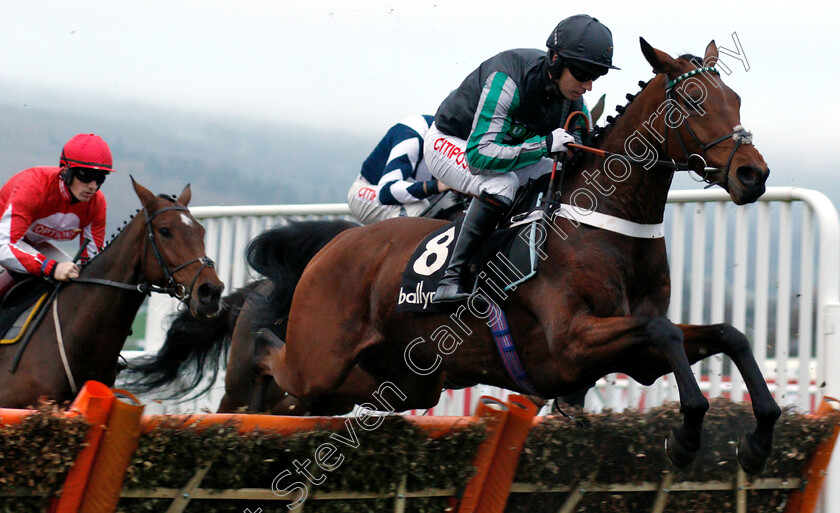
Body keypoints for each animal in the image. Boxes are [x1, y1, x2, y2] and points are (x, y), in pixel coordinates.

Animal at [253, 39, 776, 472]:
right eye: (692, 102)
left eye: (736, 100)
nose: (753, 175)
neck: (605, 222)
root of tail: (336, 243)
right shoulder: (571, 343)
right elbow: (663, 330)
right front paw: (685, 436)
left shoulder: (637, 359)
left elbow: (728, 336)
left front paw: (759, 439)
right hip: (319, 361)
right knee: (277, 360)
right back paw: (256, 364)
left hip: (408, 379)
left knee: (343, 399)